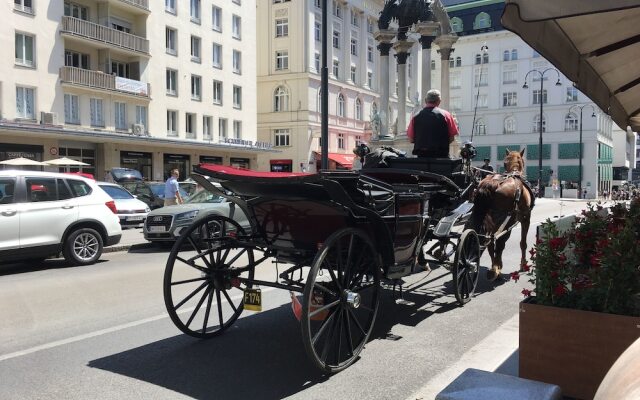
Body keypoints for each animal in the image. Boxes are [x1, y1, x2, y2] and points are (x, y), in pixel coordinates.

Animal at [470, 148, 536, 282]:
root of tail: (490, 184)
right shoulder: (526, 218)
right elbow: (523, 243)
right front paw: (523, 264)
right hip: (505, 220)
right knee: (497, 242)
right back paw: (496, 269)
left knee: (489, 242)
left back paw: (495, 269)